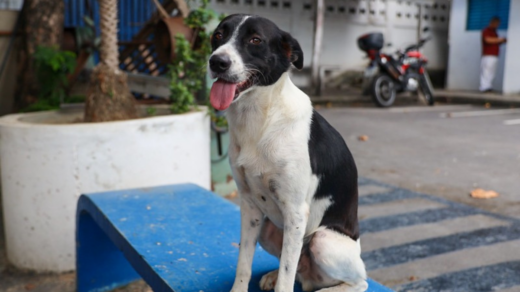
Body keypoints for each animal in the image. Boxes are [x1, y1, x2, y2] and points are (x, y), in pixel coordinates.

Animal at [209, 15, 368, 292]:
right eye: (218, 35)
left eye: (255, 40)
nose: (217, 62)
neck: (260, 120)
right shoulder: (249, 206)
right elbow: (244, 263)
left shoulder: (295, 212)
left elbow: (286, 278)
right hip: (268, 228)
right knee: (296, 270)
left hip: (322, 240)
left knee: (359, 282)